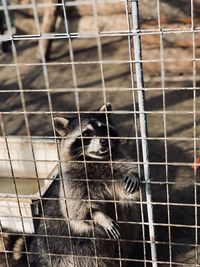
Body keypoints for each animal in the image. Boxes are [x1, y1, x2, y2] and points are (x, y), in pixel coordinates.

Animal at [28, 103, 141, 266]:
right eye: (87, 133)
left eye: (104, 128)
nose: (104, 141)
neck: (95, 160)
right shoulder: (72, 182)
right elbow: (77, 212)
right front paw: (99, 216)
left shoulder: (116, 165)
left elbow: (126, 192)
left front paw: (132, 175)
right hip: (63, 252)